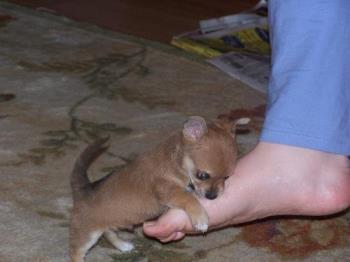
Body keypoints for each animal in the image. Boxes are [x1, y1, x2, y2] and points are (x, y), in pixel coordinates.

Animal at [69, 116, 249, 262]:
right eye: (203, 175)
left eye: (226, 177)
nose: (212, 196)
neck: (176, 161)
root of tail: (83, 189)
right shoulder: (168, 192)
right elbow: (188, 198)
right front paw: (200, 218)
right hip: (87, 234)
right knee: (76, 251)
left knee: (108, 232)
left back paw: (123, 245)